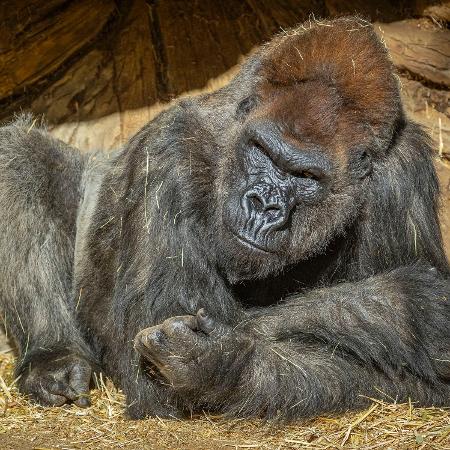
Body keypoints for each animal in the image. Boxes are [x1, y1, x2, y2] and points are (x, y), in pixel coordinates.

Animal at [0, 16, 450, 418]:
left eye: (305, 176)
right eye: (263, 152)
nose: (263, 205)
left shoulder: (403, 175)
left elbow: (419, 379)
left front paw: (220, 363)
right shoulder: (168, 154)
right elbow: (152, 376)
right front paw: (408, 307)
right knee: (20, 155)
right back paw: (53, 359)